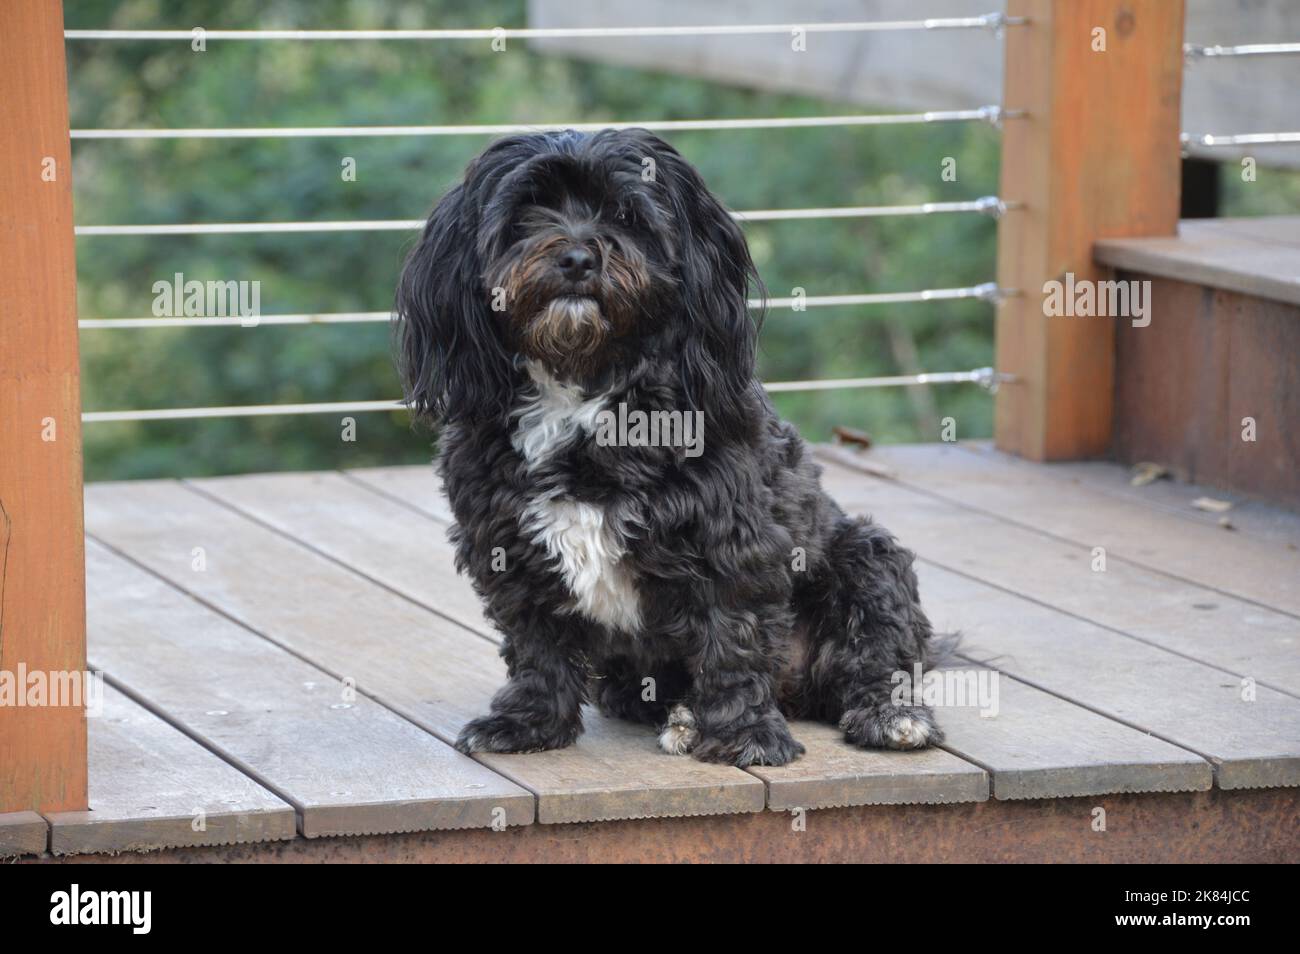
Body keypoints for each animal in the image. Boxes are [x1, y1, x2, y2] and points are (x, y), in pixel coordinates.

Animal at [395, 128, 946, 769]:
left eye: (626, 216)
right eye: (527, 213)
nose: (578, 258)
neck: (584, 389)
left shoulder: (732, 542)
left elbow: (733, 637)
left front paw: (743, 735)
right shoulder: (508, 546)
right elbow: (535, 643)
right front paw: (528, 721)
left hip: (864, 554)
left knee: (875, 655)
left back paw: (890, 715)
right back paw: (679, 715)